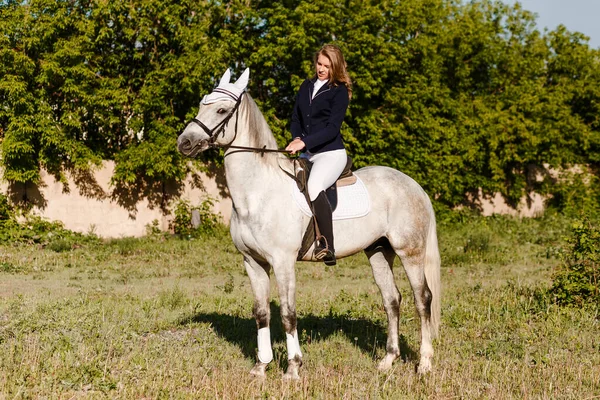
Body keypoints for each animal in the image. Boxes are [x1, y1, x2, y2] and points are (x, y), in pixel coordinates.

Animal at [176, 68, 438, 378]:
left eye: (221, 110)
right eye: (201, 104)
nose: (184, 143)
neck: (258, 192)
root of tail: (414, 185)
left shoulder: (283, 262)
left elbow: (288, 315)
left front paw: (292, 368)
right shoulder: (253, 262)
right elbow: (261, 313)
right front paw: (260, 367)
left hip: (410, 252)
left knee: (422, 299)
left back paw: (424, 364)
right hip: (378, 251)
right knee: (392, 300)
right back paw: (388, 360)